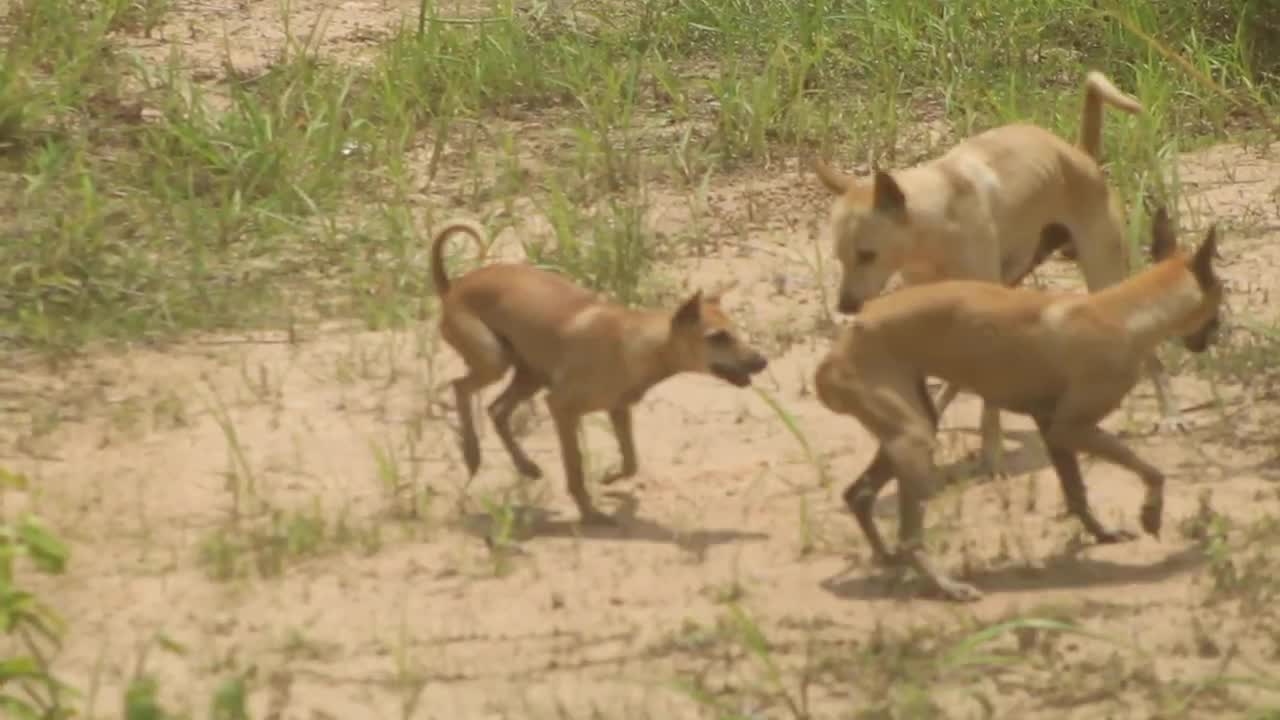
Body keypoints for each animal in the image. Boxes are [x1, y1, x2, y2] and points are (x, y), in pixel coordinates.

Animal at [430, 217, 768, 520]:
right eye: (718, 337)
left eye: (736, 332)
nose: (762, 361)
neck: (636, 344)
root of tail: (452, 288)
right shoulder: (561, 407)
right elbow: (575, 468)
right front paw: (590, 512)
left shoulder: (618, 410)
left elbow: (631, 461)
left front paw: (610, 479)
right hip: (495, 360)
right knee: (460, 387)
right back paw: (472, 453)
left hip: (529, 374)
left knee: (497, 410)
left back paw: (525, 466)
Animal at [814, 70, 1182, 479]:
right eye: (841, 258)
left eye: (867, 255)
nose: (846, 306)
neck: (935, 221)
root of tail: (1080, 153)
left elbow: (987, 407)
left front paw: (992, 455)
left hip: (1105, 274)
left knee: (1150, 353)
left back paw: (1169, 412)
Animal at [814, 208, 1223, 599]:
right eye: (1221, 297)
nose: (1217, 336)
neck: (1124, 312)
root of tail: (837, 350)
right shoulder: (1072, 428)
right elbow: (1152, 471)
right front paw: (1151, 513)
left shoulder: (1053, 430)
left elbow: (1077, 493)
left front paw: (1101, 533)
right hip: (915, 440)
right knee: (909, 538)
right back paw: (944, 586)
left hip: (912, 428)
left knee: (859, 494)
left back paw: (888, 559)